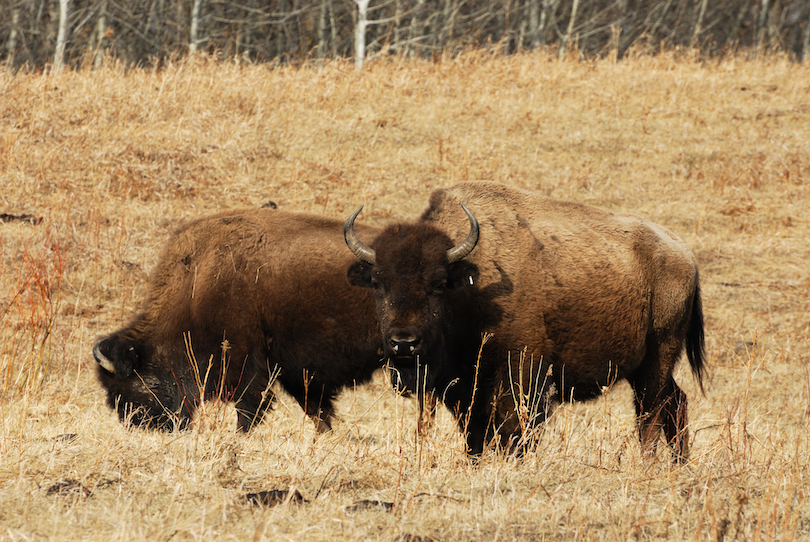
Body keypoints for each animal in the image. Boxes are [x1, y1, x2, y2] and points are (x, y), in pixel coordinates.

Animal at [92, 208, 386, 434]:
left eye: (128, 388)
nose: (142, 426)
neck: (197, 282)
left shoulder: (247, 362)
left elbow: (250, 407)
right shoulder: (292, 370)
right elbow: (315, 408)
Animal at [344, 183, 704, 464]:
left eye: (438, 284)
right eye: (378, 282)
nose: (403, 343)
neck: (472, 283)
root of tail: (685, 254)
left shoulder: (522, 369)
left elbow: (514, 428)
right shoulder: (463, 388)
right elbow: (474, 435)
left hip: (659, 354)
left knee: (650, 412)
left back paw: (649, 465)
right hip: (645, 366)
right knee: (676, 403)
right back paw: (679, 466)